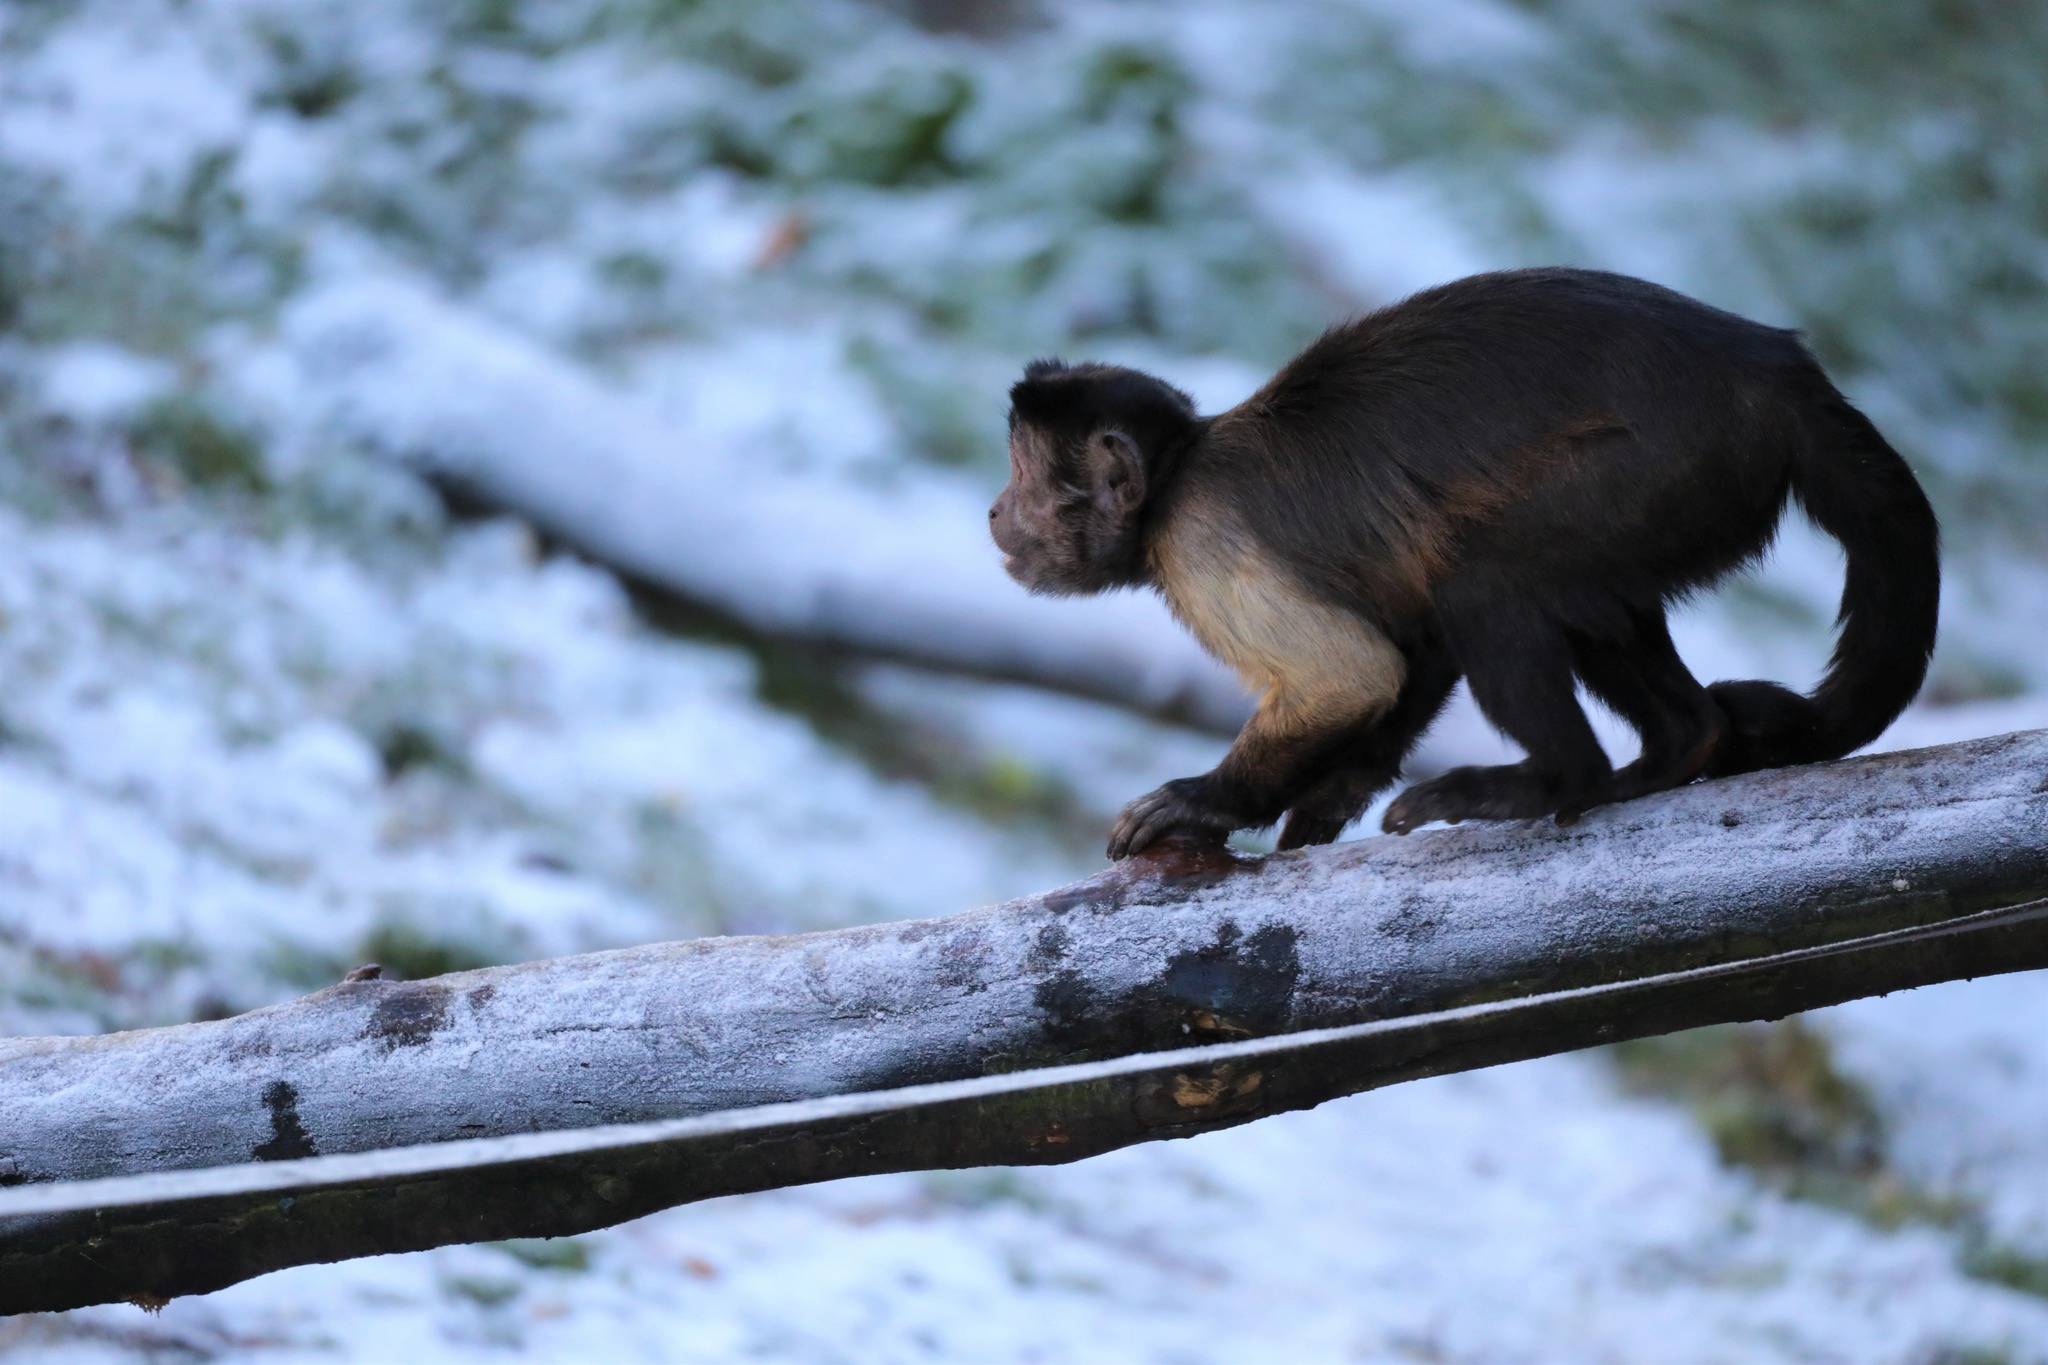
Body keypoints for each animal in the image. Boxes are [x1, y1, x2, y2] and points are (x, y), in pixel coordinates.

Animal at [987, 266, 1933, 859]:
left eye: (1024, 475)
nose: (995, 511)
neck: (1176, 479)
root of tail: (1781, 370)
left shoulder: (1200, 542)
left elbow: (1352, 672)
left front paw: (1209, 802)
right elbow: (1410, 647)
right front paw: (1331, 796)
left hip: (1670, 465)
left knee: (1487, 580)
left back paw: (1559, 779)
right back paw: (1676, 747)